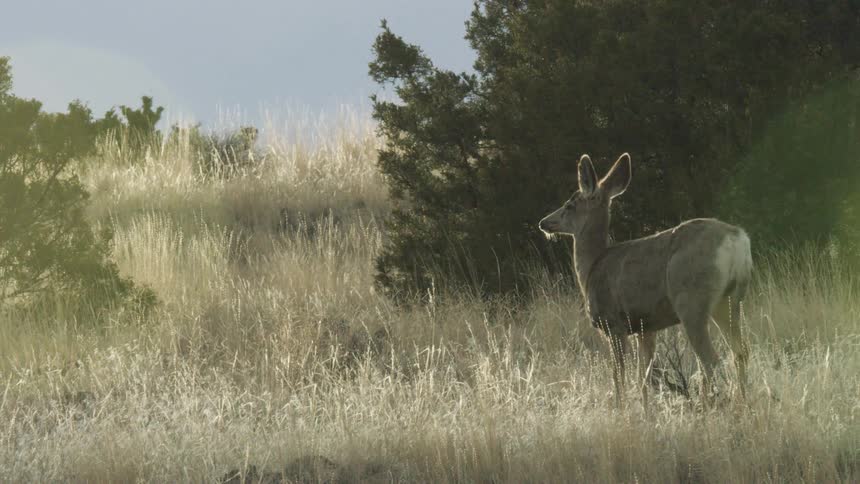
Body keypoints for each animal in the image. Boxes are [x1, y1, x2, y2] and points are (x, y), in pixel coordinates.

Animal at [539, 153, 752, 409]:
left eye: (570, 205)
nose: (543, 222)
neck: (592, 267)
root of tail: (737, 239)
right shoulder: (646, 327)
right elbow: (643, 377)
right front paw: (646, 411)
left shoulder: (613, 323)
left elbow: (619, 377)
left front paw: (621, 410)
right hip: (730, 299)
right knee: (740, 351)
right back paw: (744, 402)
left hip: (692, 301)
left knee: (710, 360)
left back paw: (712, 406)